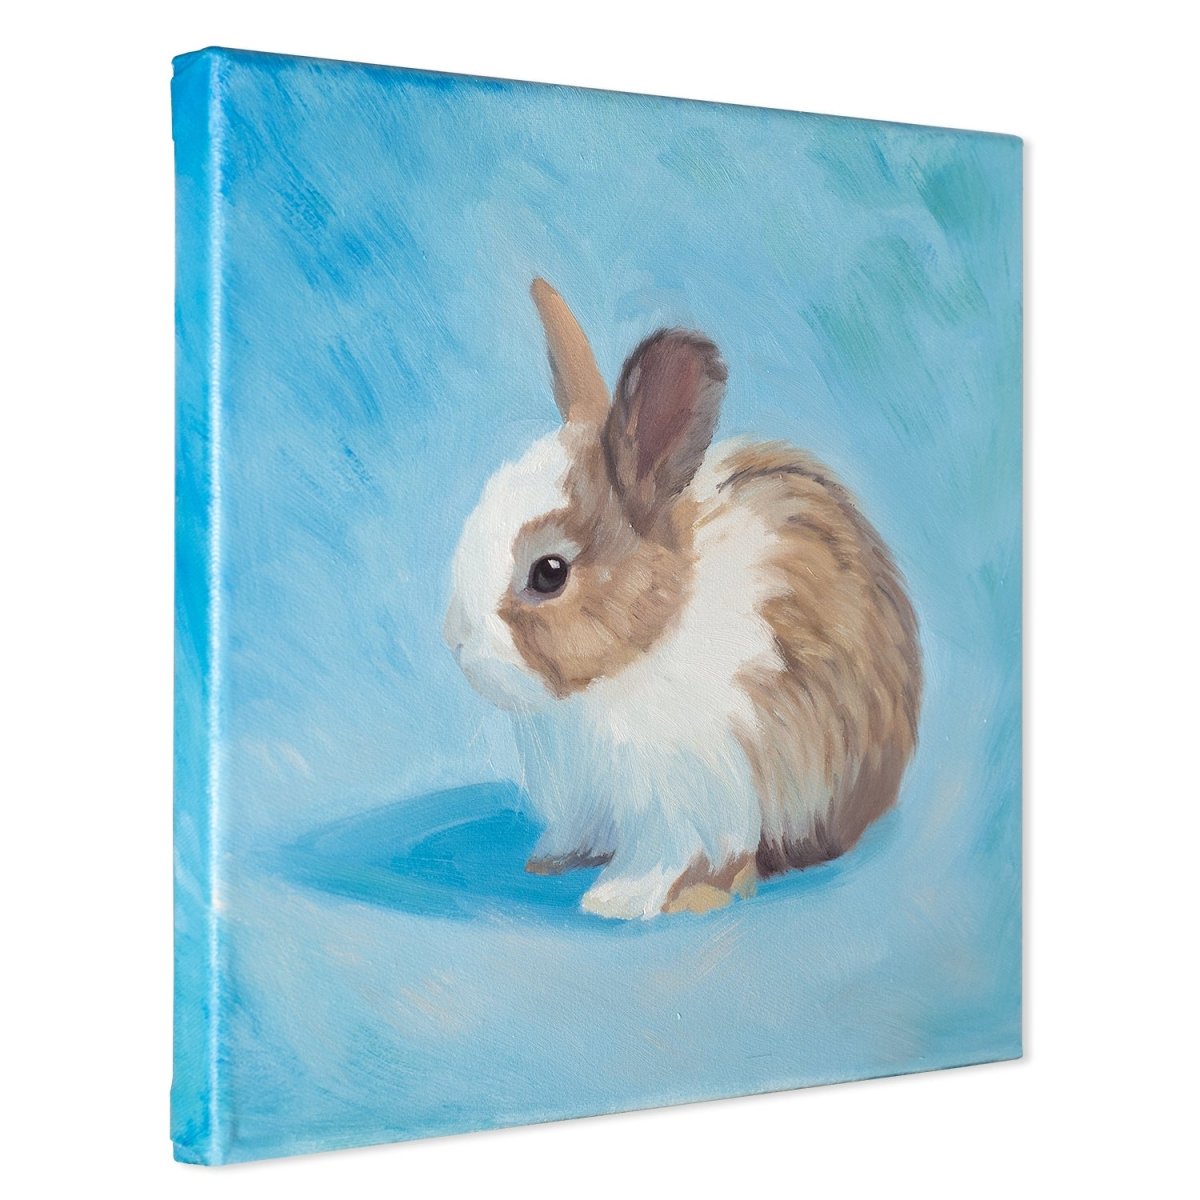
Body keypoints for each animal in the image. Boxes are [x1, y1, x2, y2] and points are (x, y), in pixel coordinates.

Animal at [443, 279, 922, 920]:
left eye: (549, 573)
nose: (457, 642)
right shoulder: (591, 799)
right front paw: (549, 862)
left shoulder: (686, 800)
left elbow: (664, 856)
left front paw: (617, 901)